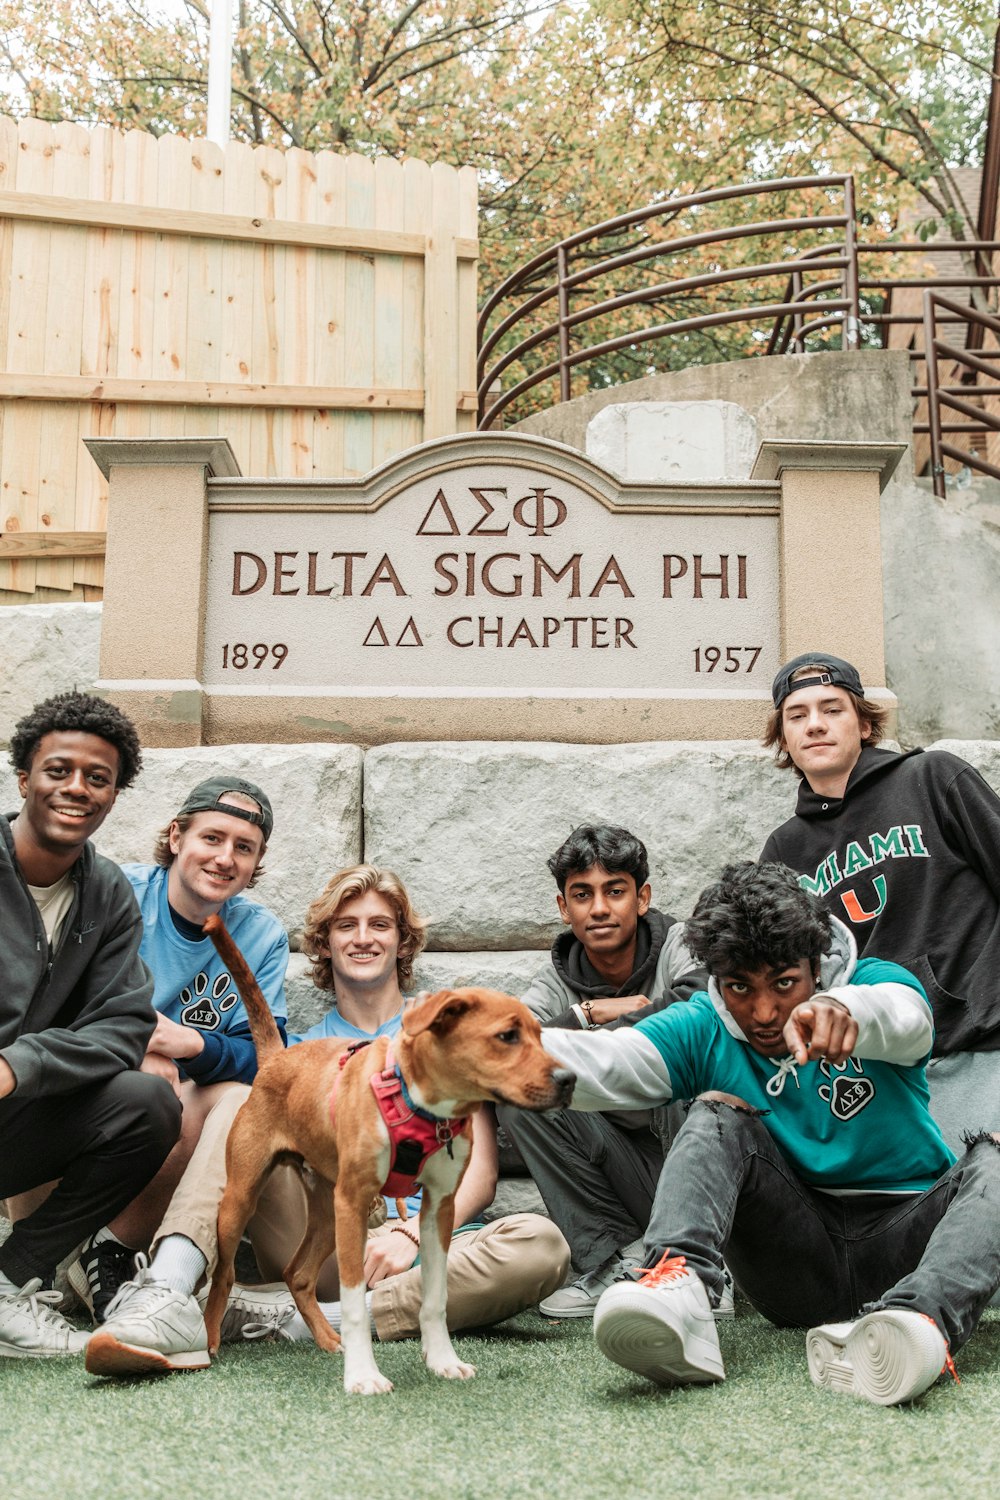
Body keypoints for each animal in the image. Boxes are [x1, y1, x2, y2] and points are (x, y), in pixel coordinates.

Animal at [200, 912, 578, 1392]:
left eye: (539, 1035)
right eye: (507, 1036)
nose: (569, 1080)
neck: (422, 1104)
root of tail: (275, 1059)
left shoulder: (439, 1208)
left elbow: (435, 1296)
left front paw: (443, 1361)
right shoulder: (356, 1200)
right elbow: (354, 1301)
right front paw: (363, 1376)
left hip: (329, 1210)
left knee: (297, 1275)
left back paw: (327, 1340)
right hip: (246, 1199)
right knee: (224, 1273)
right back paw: (212, 1338)